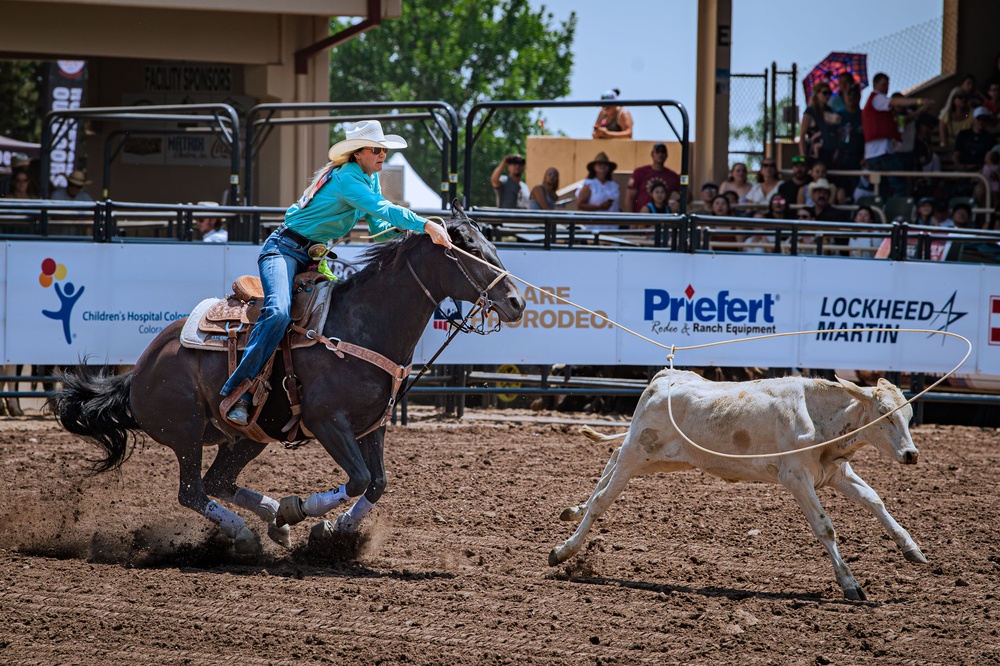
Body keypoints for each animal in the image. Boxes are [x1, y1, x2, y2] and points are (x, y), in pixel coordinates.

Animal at [54, 204, 528, 556]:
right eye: (470, 251)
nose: (517, 303)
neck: (361, 325)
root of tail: (140, 369)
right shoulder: (327, 422)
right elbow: (358, 479)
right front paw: (303, 512)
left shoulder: (371, 426)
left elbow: (376, 483)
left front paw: (330, 531)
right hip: (186, 430)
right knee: (192, 490)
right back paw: (246, 533)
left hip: (248, 436)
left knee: (217, 482)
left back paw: (273, 522)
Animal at [552, 370, 924, 600]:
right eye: (886, 415)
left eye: (908, 417)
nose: (911, 454)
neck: (817, 417)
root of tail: (665, 378)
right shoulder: (796, 478)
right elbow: (825, 527)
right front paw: (849, 584)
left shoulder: (836, 473)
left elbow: (875, 501)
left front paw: (912, 549)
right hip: (638, 452)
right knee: (603, 498)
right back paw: (563, 550)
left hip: (660, 458)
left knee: (611, 462)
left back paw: (574, 511)